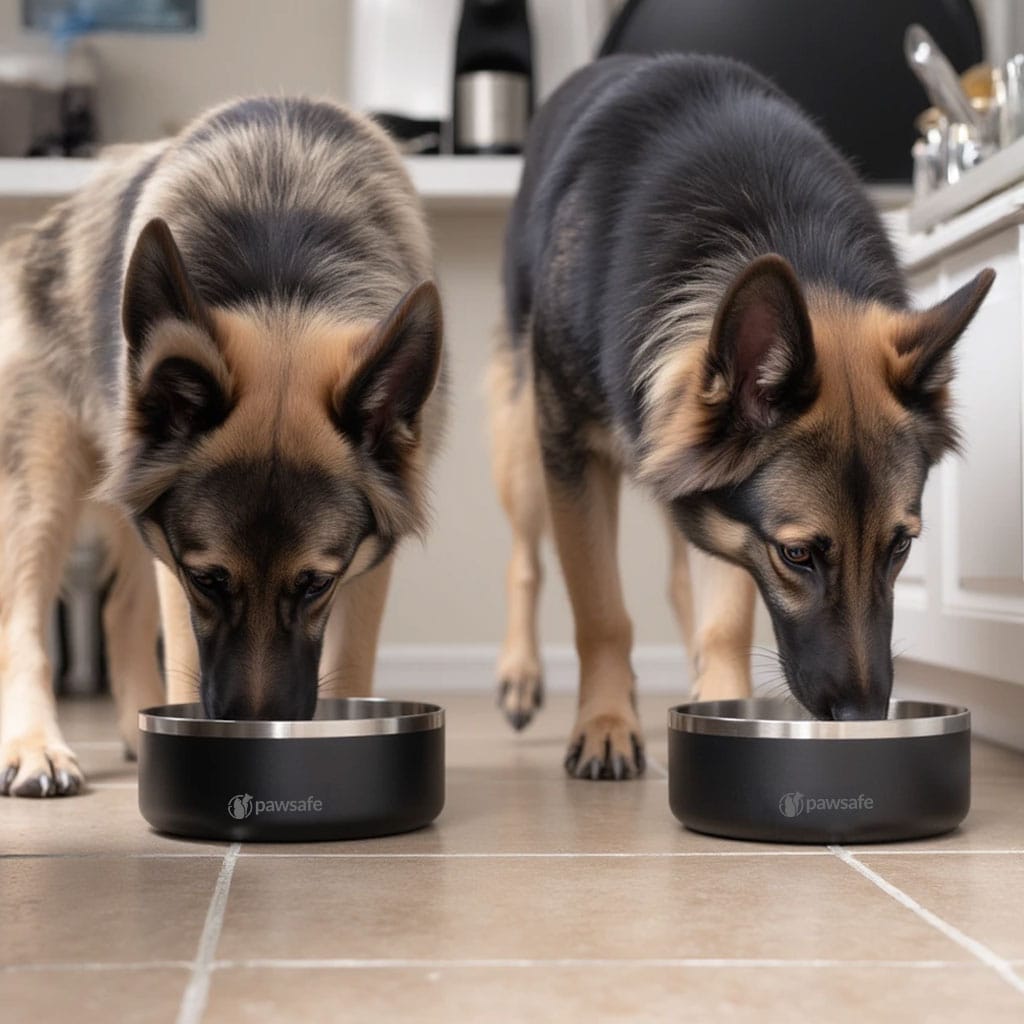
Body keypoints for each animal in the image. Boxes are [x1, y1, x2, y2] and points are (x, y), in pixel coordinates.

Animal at [2, 96, 446, 794]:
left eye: (317, 584)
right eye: (207, 579)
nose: (256, 734)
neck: (283, 284)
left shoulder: (369, 563)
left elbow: (351, 664)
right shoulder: (174, 564)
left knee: (117, 613)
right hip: (45, 483)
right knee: (23, 621)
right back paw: (34, 746)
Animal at [487, 54, 991, 774]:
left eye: (900, 547)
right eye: (798, 555)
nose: (864, 718)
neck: (770, 224)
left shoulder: (725, 509)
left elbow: (722, 616)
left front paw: (719, 699)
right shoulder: (577, 457)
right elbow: (600, 610)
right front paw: (607, 722)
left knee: (681, 582)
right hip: (526, 443)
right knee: (526, 557)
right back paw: (521, 676)